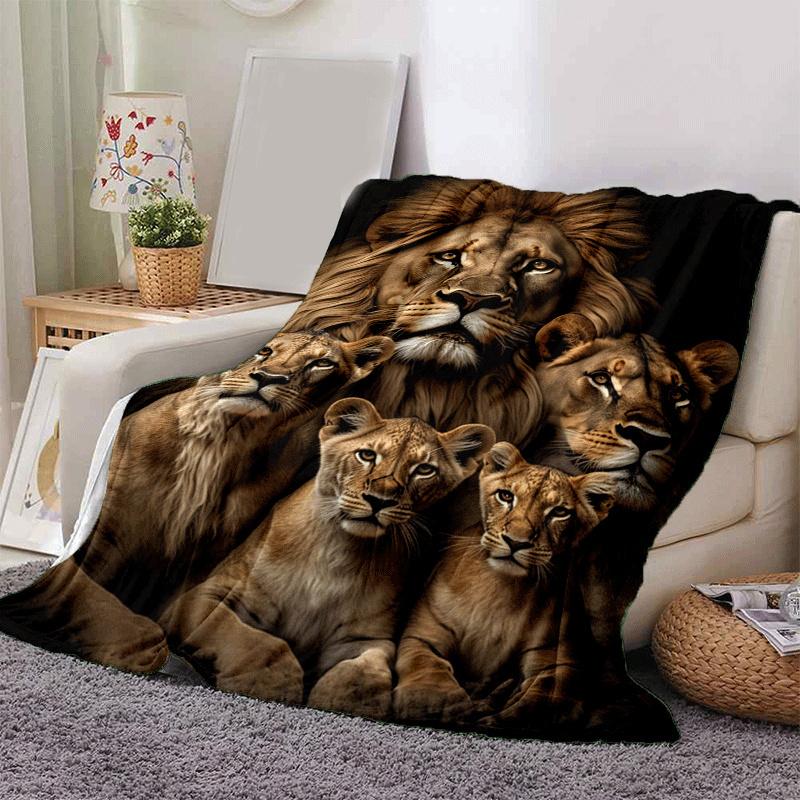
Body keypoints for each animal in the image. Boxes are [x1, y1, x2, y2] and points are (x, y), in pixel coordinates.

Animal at [0, 332, 393, 671]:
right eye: (266, 350)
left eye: (321, 363)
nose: (266, 377)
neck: (225, 441)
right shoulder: (105, 542)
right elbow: (90, 599)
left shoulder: (199, 566)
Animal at [160, 397, 495, 720]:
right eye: (367, 455)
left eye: (424, 470)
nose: (379, 501)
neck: (337, 550)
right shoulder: (201, 598)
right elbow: (259, 641)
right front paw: (275, 682)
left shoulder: (365, 637)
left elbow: (366, 669)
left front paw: (347, 700)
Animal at [393, 442, 614, 729]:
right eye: (506, 496)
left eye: (559, 512)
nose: (516, 542)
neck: (500, 586)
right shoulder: (422, 635)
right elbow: (429, 670)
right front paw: (437, 704)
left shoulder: (559, 660)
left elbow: (543, 698)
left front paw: (504, 715)